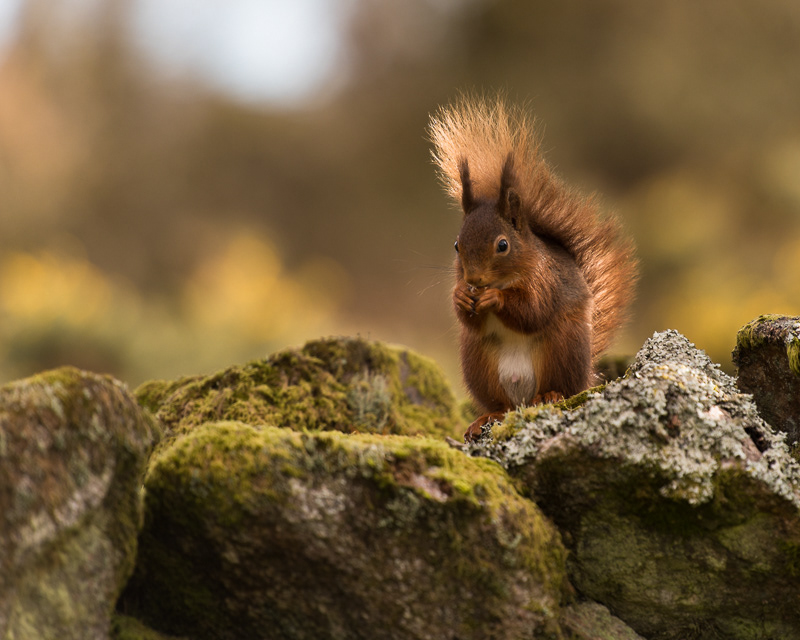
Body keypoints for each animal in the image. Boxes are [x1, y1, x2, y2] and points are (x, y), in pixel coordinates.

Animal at [429, 96, 638, 442]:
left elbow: (533, 311)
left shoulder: (545, 280)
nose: (473, 279)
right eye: (457, 245)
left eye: (502, 245)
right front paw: (461, 297)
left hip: (562, 348)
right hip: (478, 363)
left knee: (560, 387)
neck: (504, 279)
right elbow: (469, 319)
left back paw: (549, 395)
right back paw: (487, 416)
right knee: (500, 404)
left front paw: (495, 300)